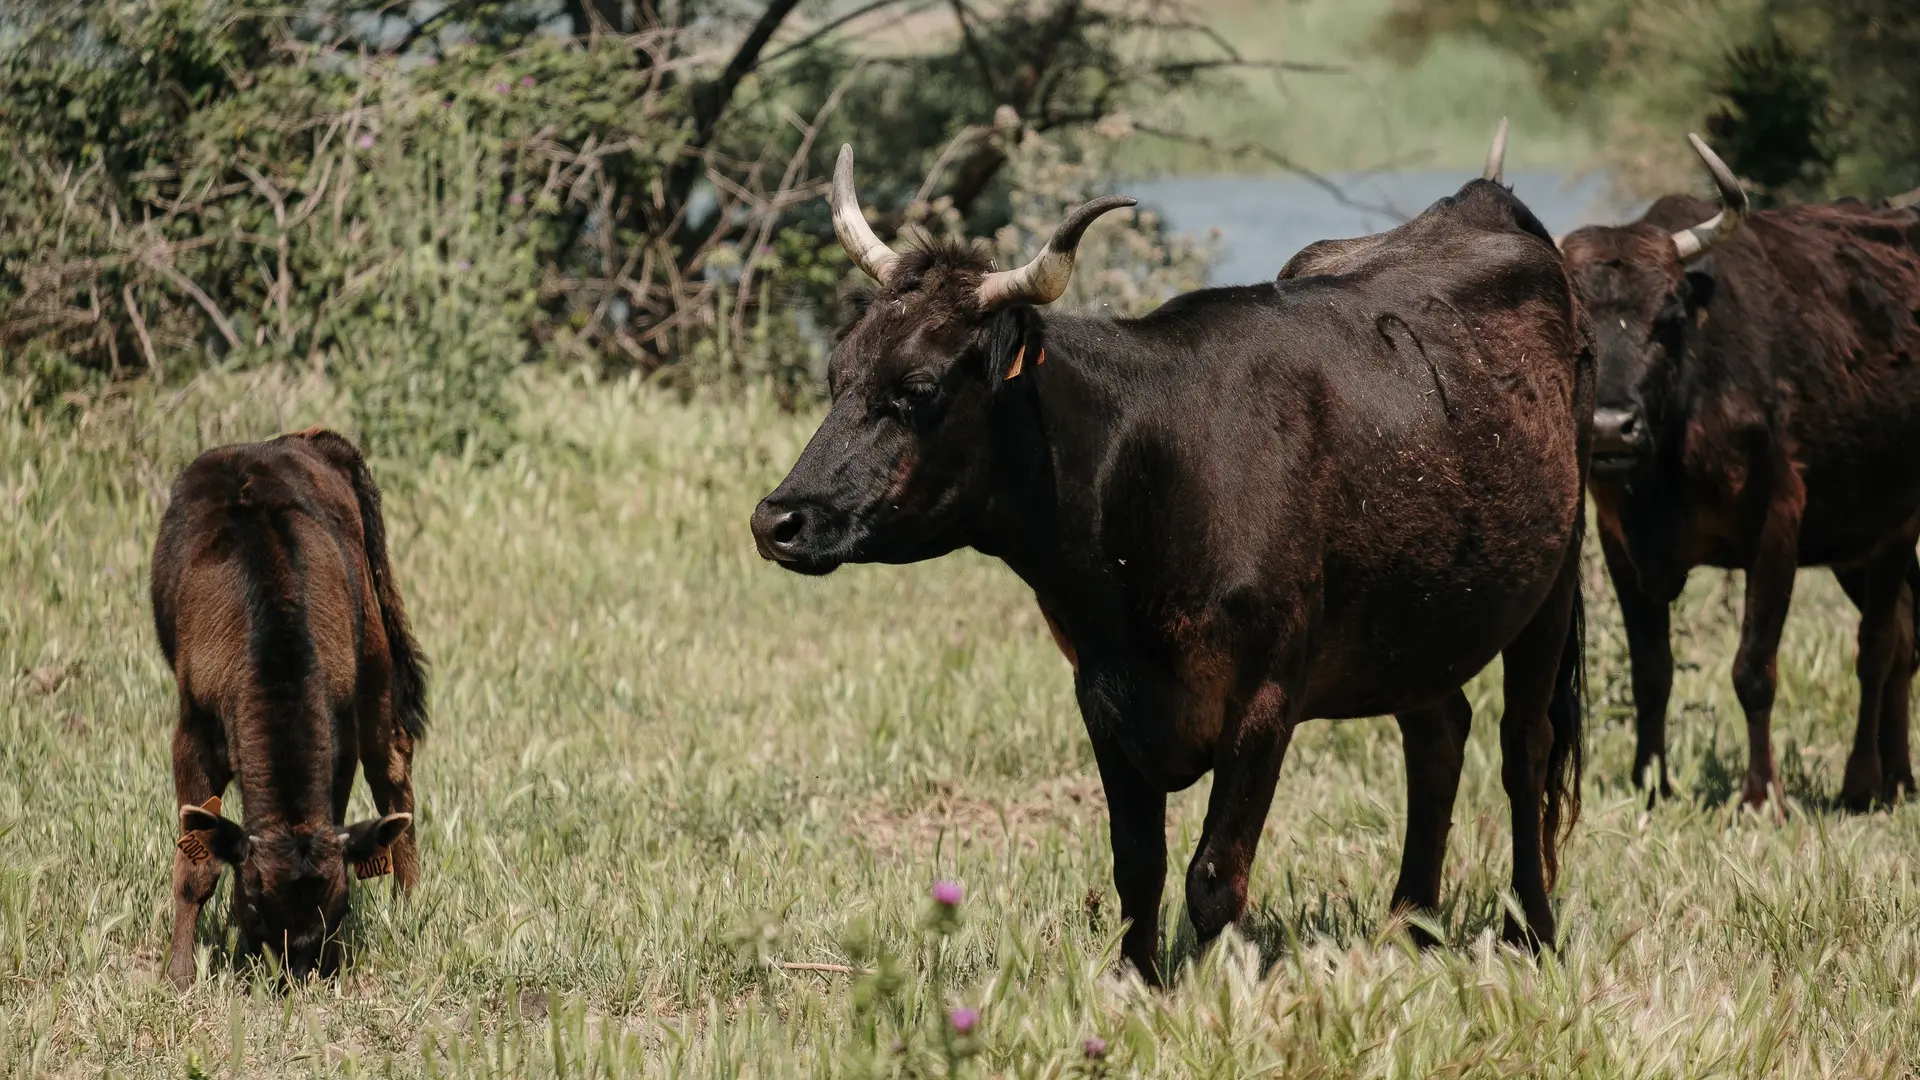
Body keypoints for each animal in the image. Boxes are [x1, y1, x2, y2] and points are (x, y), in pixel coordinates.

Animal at [155, 424, 430, 980]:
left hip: (374, 651)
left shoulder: (340, 731)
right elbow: (197, 864)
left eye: (339, 907)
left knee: (390, 765)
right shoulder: (192, 732)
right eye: (255, 906)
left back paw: (409, 902)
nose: (299, 973)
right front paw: (180, 975)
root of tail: (300, 439)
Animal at [748, 127, 1589, 983]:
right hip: (1414, 612)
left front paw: (1218, 991)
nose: (777, 519)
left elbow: (1214, 874)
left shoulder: (1264, 697)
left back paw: (1532, 930)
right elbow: (1137, 861)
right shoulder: (1100, 692)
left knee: (1525, 751)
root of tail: (1480, 200)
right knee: (1438, 733)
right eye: (836, 373)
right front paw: (1137, 984)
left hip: (1555, 574)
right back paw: (1408, 927)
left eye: (917, 388)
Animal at [1559, 132, 1920, 807]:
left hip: (1893, 527)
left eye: (1668, 318)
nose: (1610, 427)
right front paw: (1651, 782)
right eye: (1575, 320)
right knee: (1905, 639)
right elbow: (1652, 671)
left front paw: (1759, 794)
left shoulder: (1777, 524)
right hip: (1854, 543)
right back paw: (1900, 777)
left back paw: (1863, 782)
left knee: (1880, 647)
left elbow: (1754, 669)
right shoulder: (1619, 541)